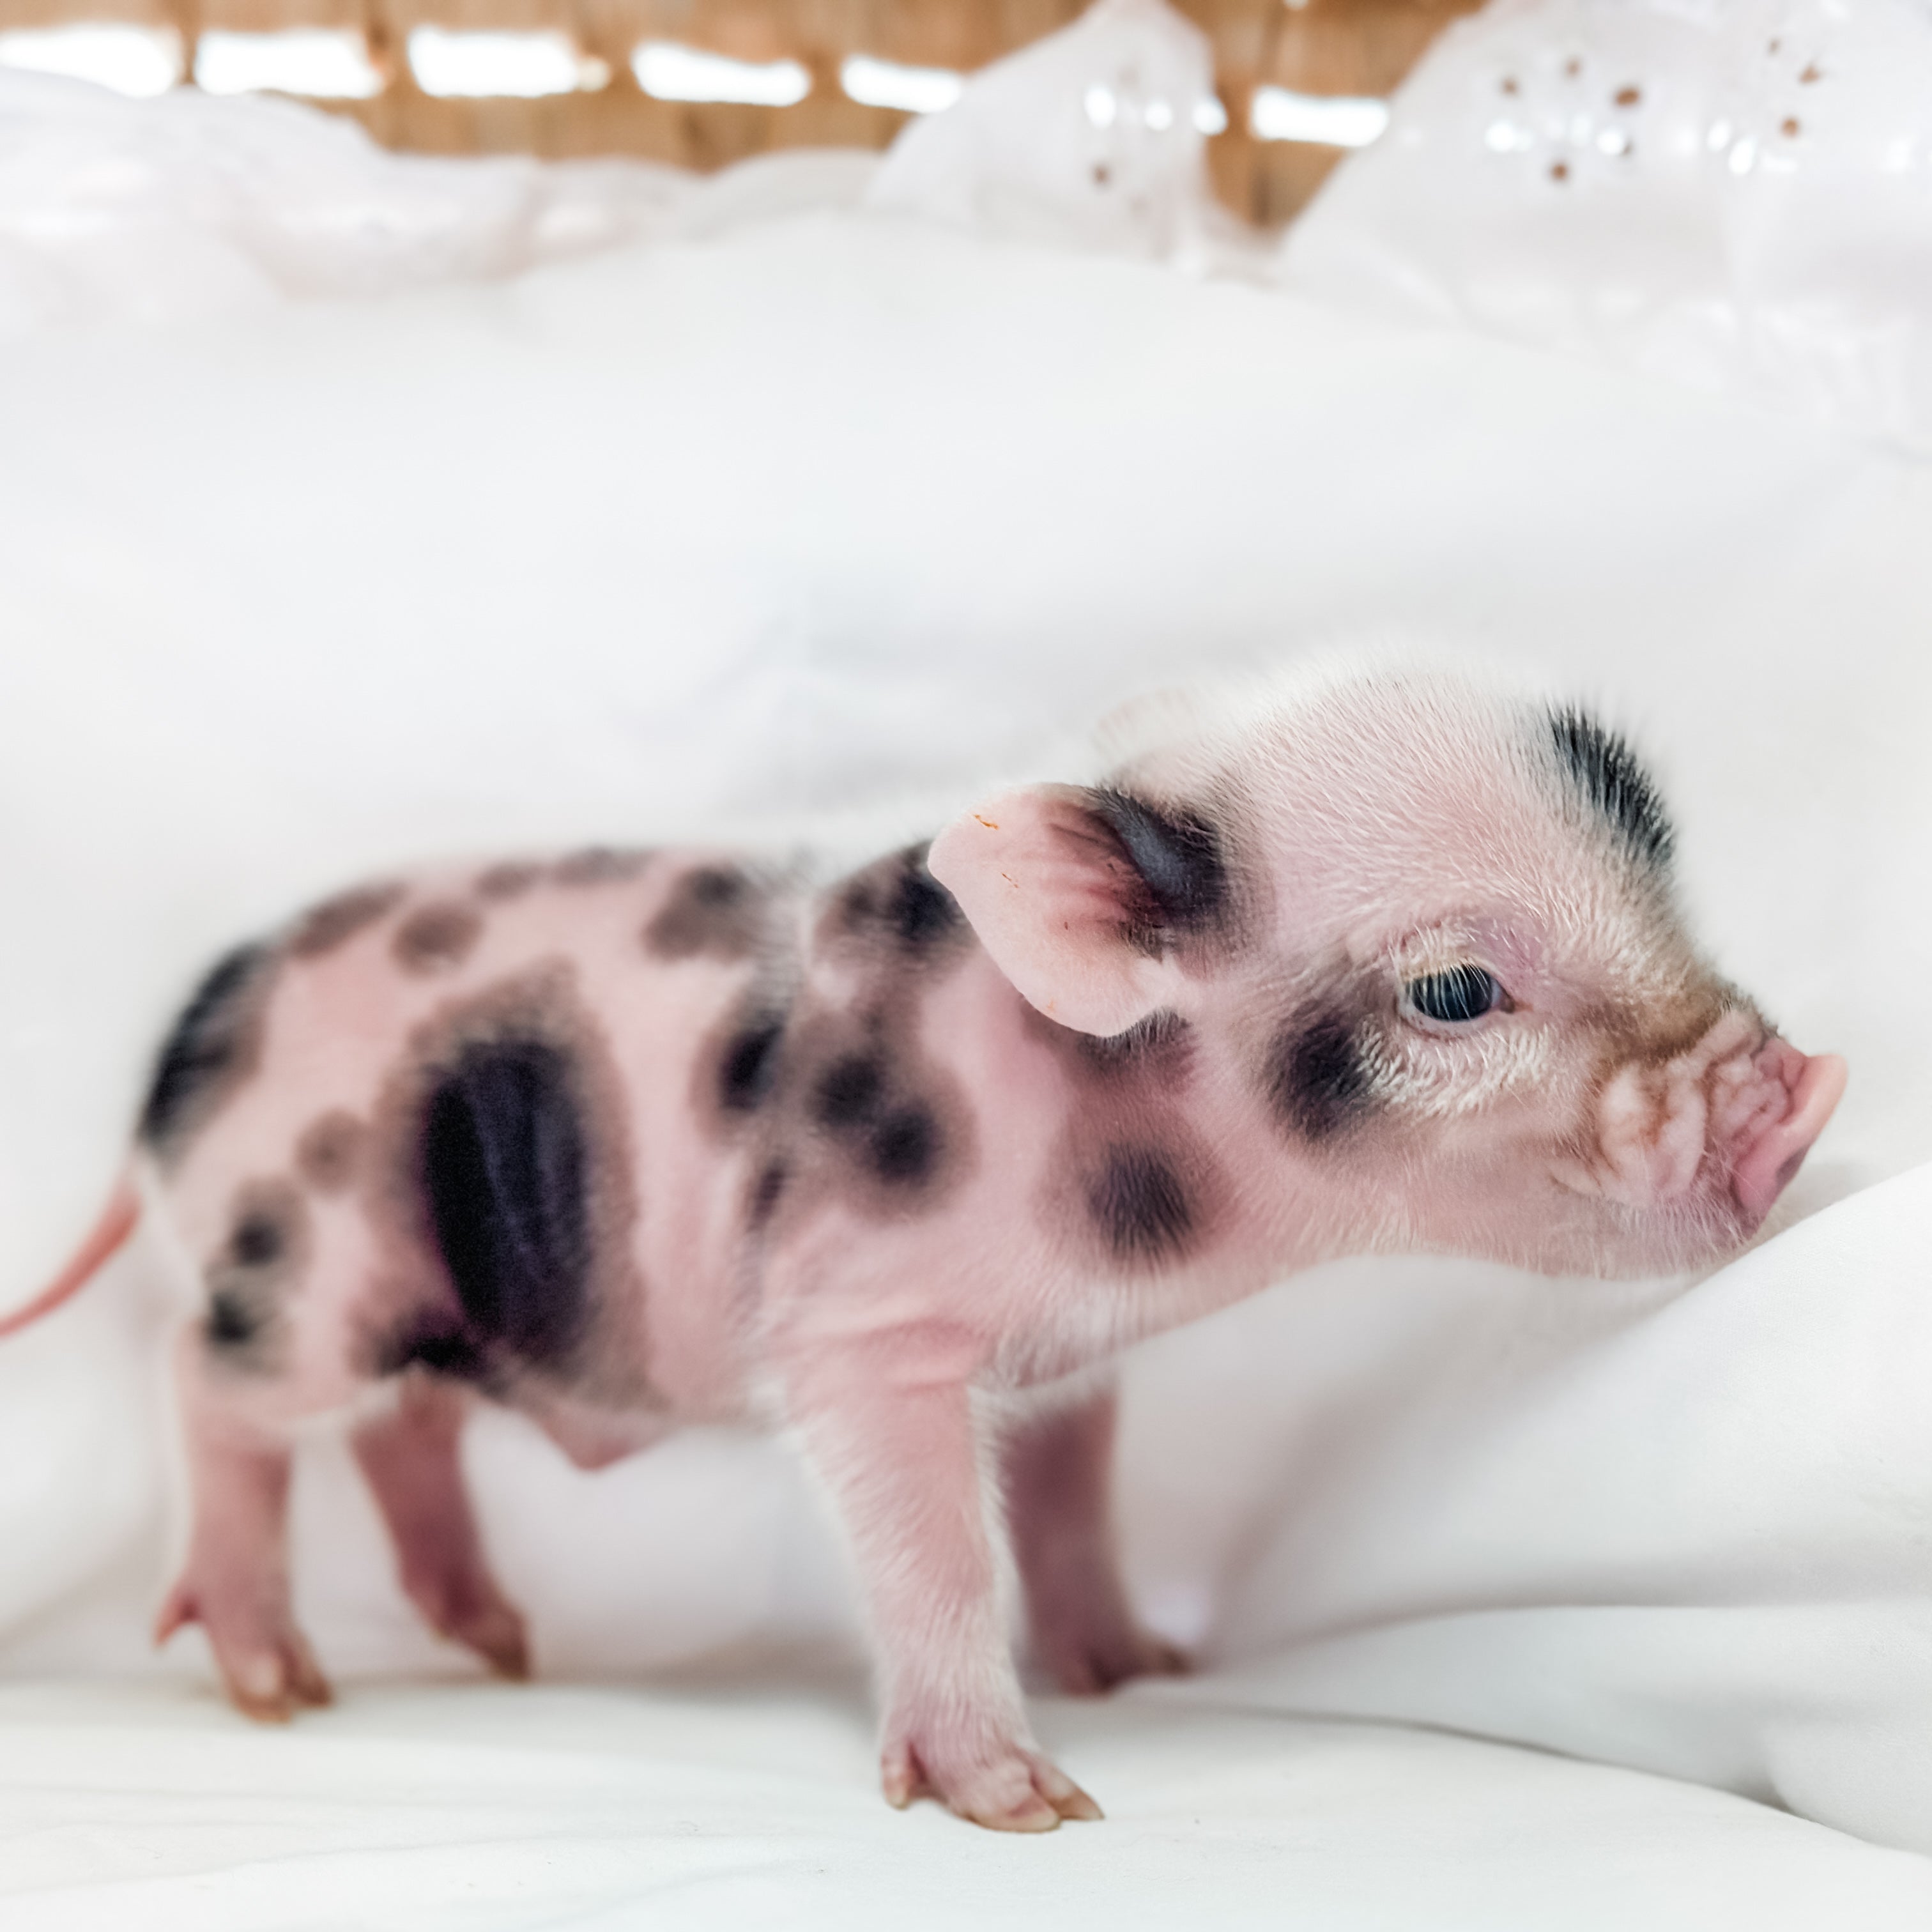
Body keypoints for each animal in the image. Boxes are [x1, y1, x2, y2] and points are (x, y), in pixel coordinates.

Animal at [32, 659, 1845, 1831]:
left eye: (1667, 882)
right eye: (1455, 990)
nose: (1806, 1092)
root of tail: (186, 1040)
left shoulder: (1076, 1357)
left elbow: (1073, 1508)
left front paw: (1141, 1670)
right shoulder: (861, 1329)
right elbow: (939, 1551)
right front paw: (1029, 1806)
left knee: (400, 1423)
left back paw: (500, 1646)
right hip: (306, 1258)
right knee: (207, 1380)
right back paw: (280, 1687)